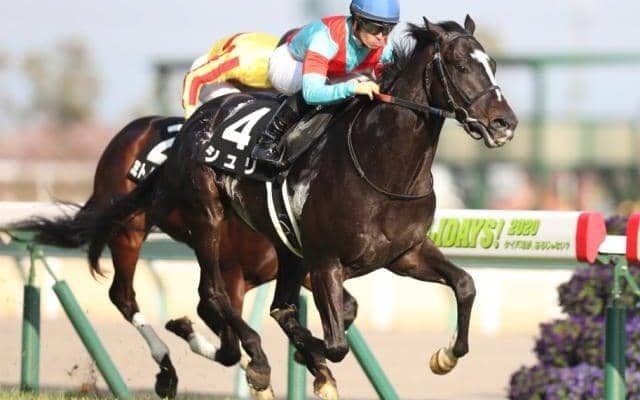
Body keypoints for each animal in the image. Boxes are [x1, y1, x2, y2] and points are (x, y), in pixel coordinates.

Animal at [80, 15, 517, 400]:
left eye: (494, 65)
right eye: (460, 65)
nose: (505, 123)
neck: (382, 167)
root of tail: (195, 121)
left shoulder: (404, 254)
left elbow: (465, 284)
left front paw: (444, 356)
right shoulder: (324, 261)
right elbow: (336, 342)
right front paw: (302, 365)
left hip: (283, 249)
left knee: (256, 307)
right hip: (189, 222)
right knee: (200, 294)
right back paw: (232, 361)